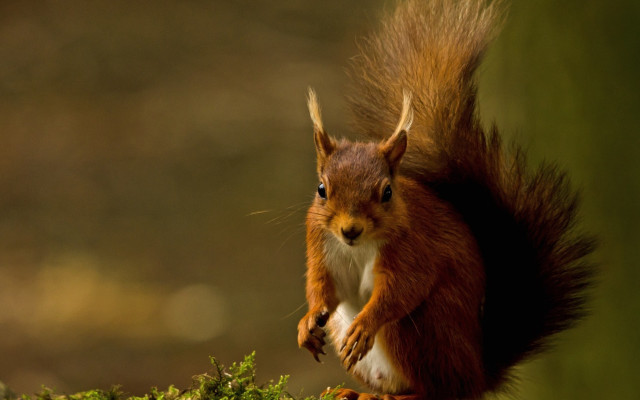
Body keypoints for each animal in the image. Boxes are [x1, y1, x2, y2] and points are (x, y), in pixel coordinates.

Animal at [296, 0, 595, 399]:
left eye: (387, 192)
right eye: (321, 189)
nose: (350, 230)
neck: (358, 247)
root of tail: (479, 374)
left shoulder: (415, 249)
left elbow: (403, 289)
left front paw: (366, 323)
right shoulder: (321, 245)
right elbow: (323, 288)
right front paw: (307, 323)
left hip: (421, 330)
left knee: (437, 389)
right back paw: (355, 392)